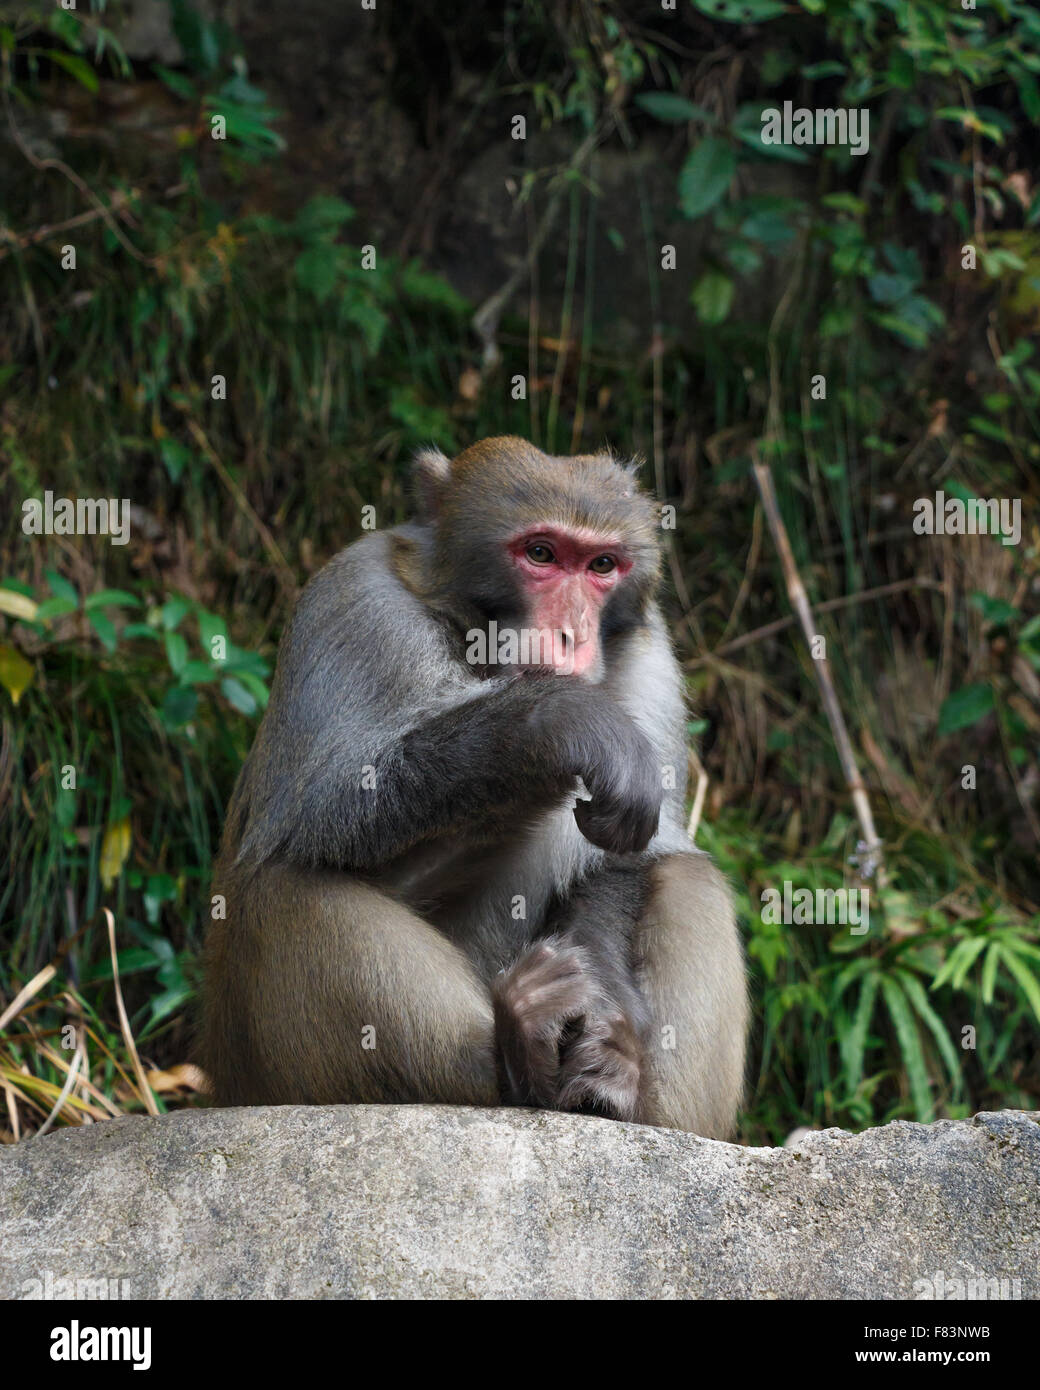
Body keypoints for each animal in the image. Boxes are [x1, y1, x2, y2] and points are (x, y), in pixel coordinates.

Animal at [197, 436, 745, 1139]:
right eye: (540, 554)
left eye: (602, 565)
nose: (571, 635)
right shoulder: (355, 602)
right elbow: (329, 812)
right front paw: (558, 722)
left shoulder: (651, 661)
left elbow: (628, 858)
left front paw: (605, 1031)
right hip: (257, 1067)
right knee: (287, 886)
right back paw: (517, 1061)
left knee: (688, 876)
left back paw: (621, 1097)